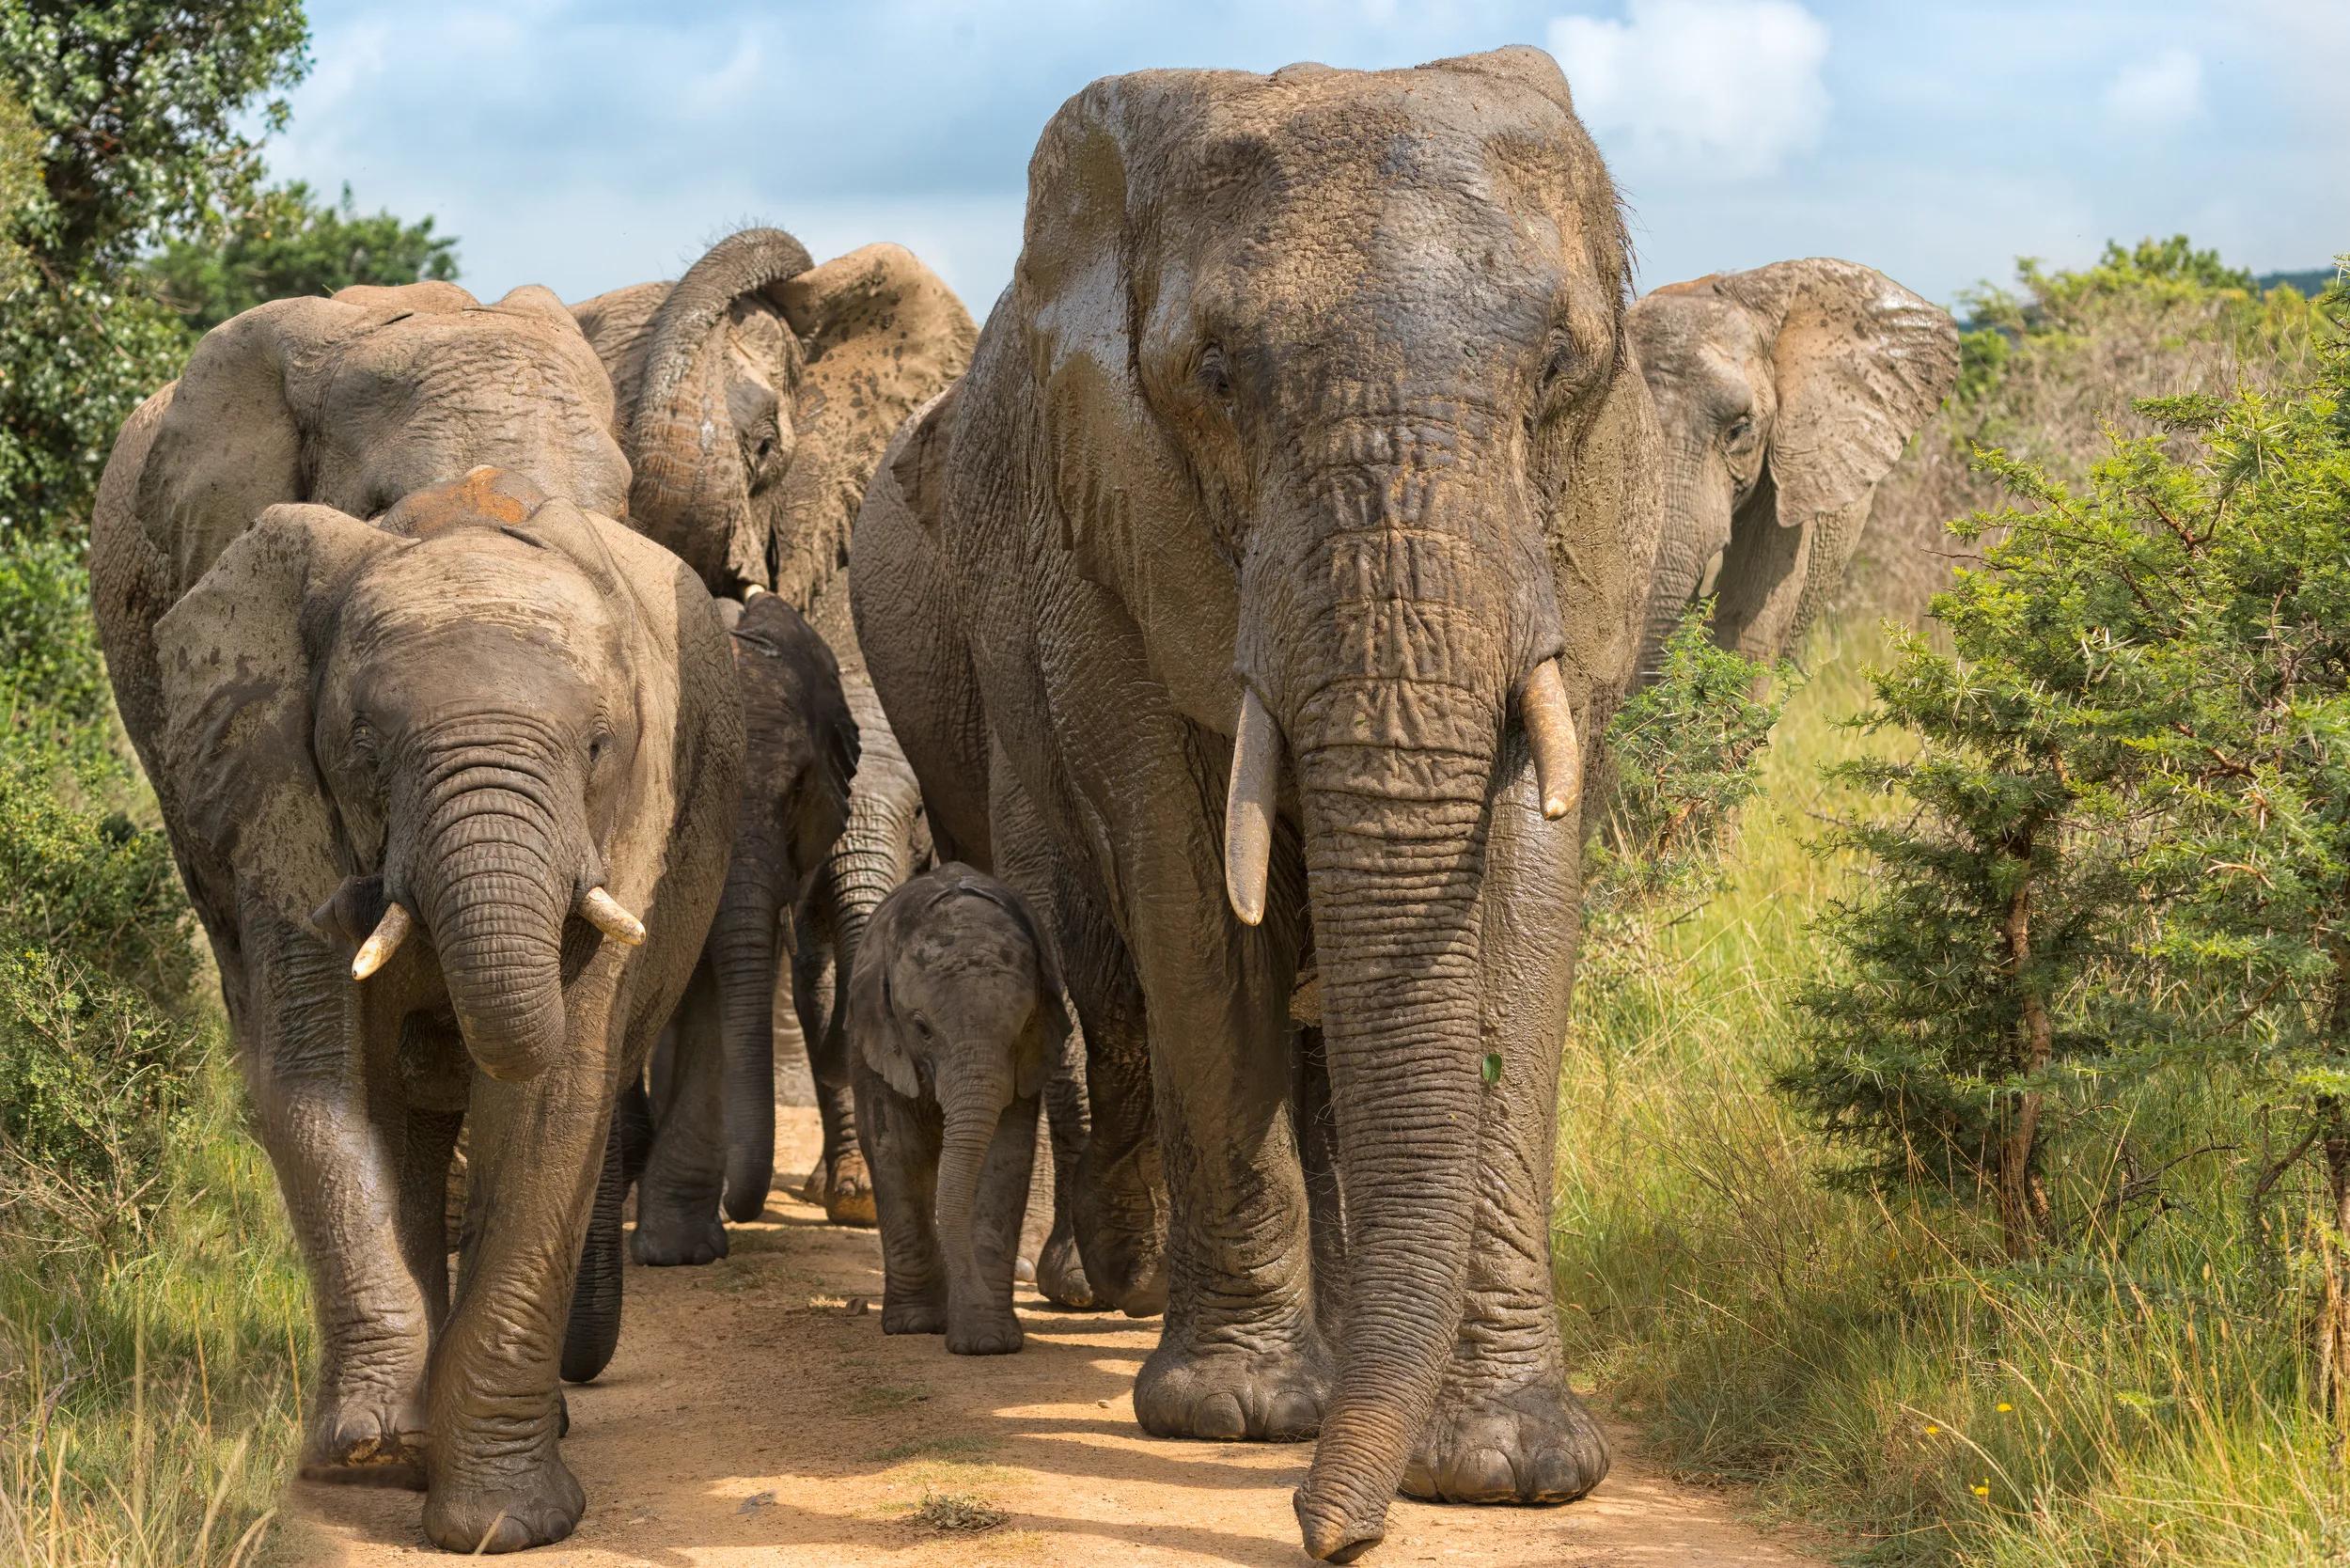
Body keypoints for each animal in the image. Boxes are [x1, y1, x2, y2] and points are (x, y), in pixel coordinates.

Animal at [848, 863, 1069, 1355]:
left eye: (1024, 1027)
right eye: (921, 1028)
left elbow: (1004, 1159)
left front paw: (987, 1341)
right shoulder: (878, 1045)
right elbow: (897, 1151)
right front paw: (914, 1325)